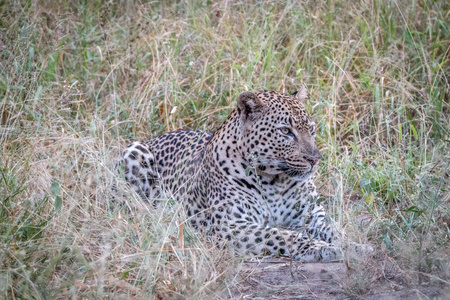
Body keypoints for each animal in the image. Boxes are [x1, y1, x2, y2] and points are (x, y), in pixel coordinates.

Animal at [118, 88, 370, 262]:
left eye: (312, 129)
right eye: (286, 131)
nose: (315, 159)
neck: (275, 182)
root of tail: (156, 137)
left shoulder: (312, 218)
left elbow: (335, 229)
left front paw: (354, 246)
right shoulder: (230, 225)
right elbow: (281, 235)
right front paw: (320, 248)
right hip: (134, 152)